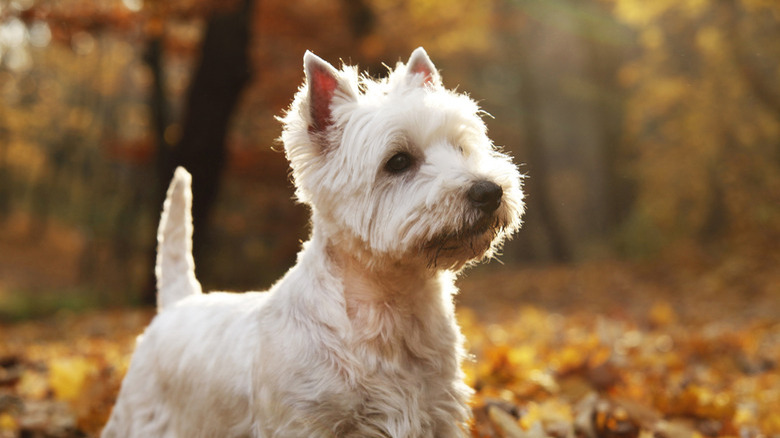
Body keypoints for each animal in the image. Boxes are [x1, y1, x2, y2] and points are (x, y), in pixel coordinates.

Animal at [100, 48, 520, 438]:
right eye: (398, 161)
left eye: (462, 148)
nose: (488, 191)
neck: (392, 309)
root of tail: (177, 304)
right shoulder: (304, 421)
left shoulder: (436, 414)